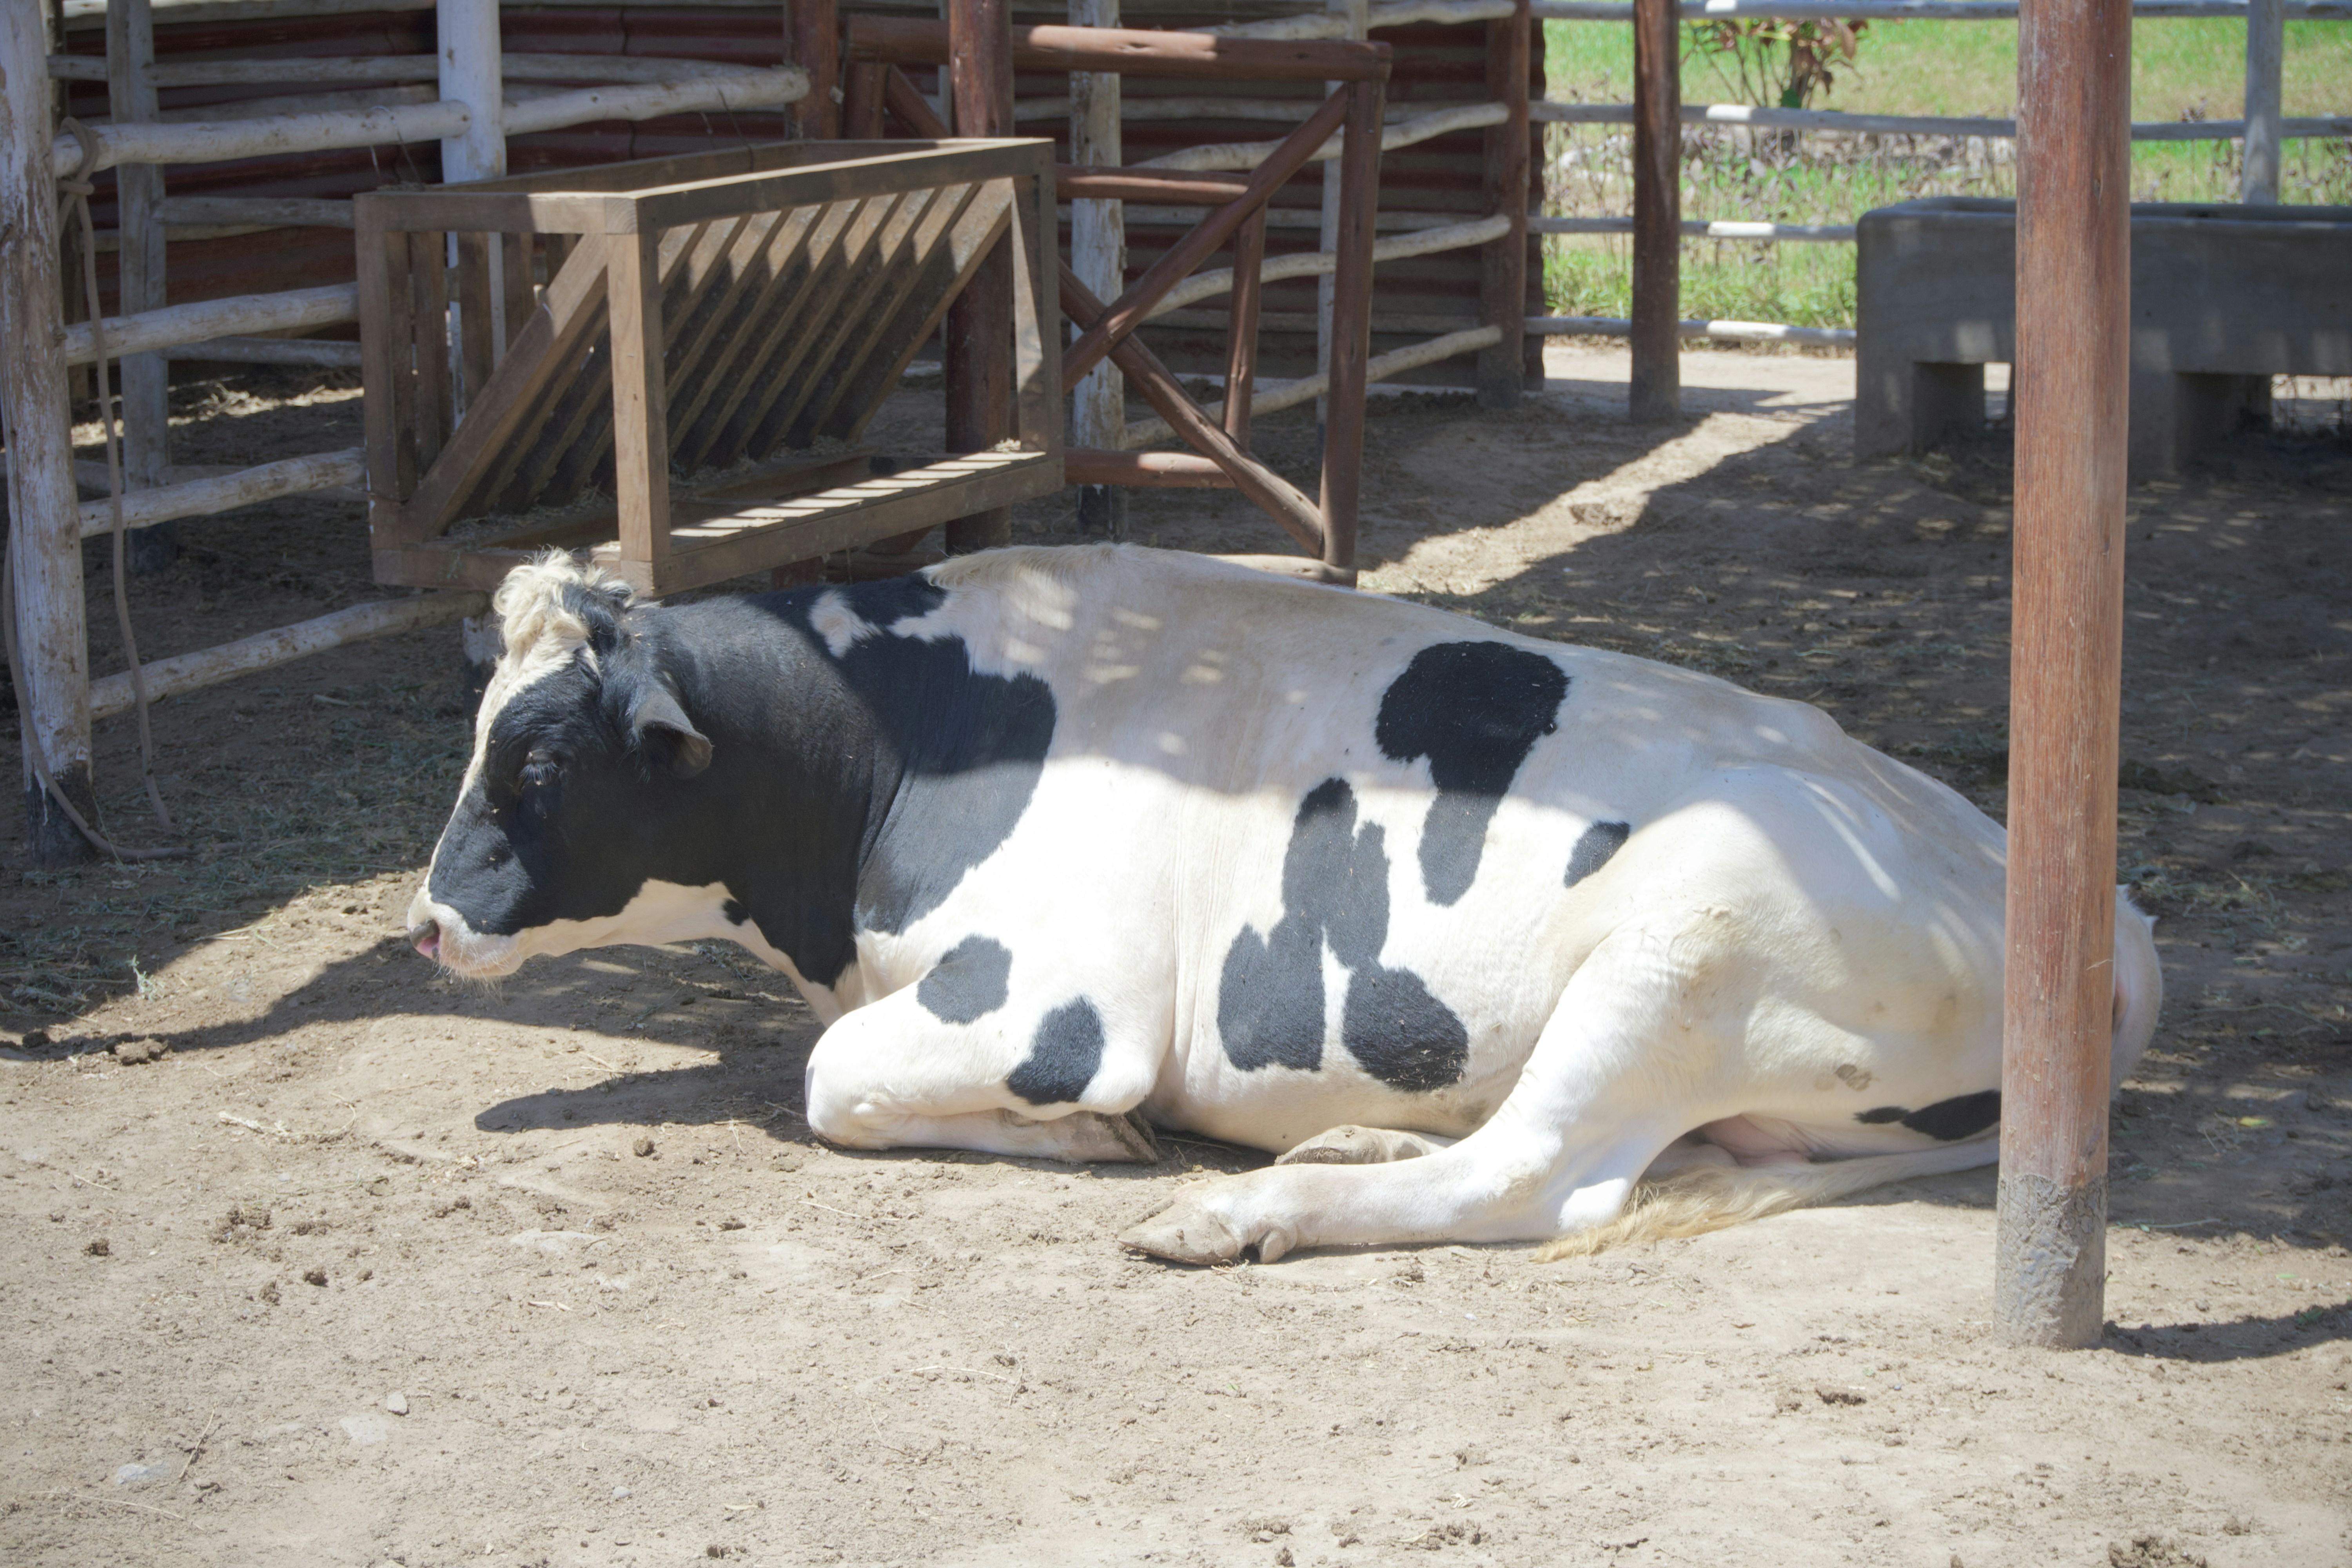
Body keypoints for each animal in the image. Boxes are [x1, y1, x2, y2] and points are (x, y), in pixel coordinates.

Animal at [409, 544, 2162, 1264]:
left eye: (542, 759)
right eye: (475, 725)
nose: (423, 922)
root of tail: (2110, 928)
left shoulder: (1063, 1004)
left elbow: (833, 1083)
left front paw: (1096, 1144)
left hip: (1689, 944)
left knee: (1534, 1180)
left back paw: (1241, 1209)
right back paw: (1347, 1145)